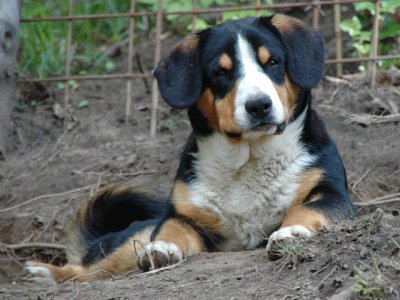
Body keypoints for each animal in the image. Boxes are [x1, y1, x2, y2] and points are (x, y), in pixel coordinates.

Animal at [24, 14, 356, 284]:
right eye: (221, 72)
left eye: (272, 62)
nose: (259, 105)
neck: (248, 160)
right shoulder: (183, 217)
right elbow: (171, 230)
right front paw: (162, 248)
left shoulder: (335, 197)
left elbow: (304, 208)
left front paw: (290, 232)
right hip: (131, 240)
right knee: (86, 270)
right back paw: (45, 274)